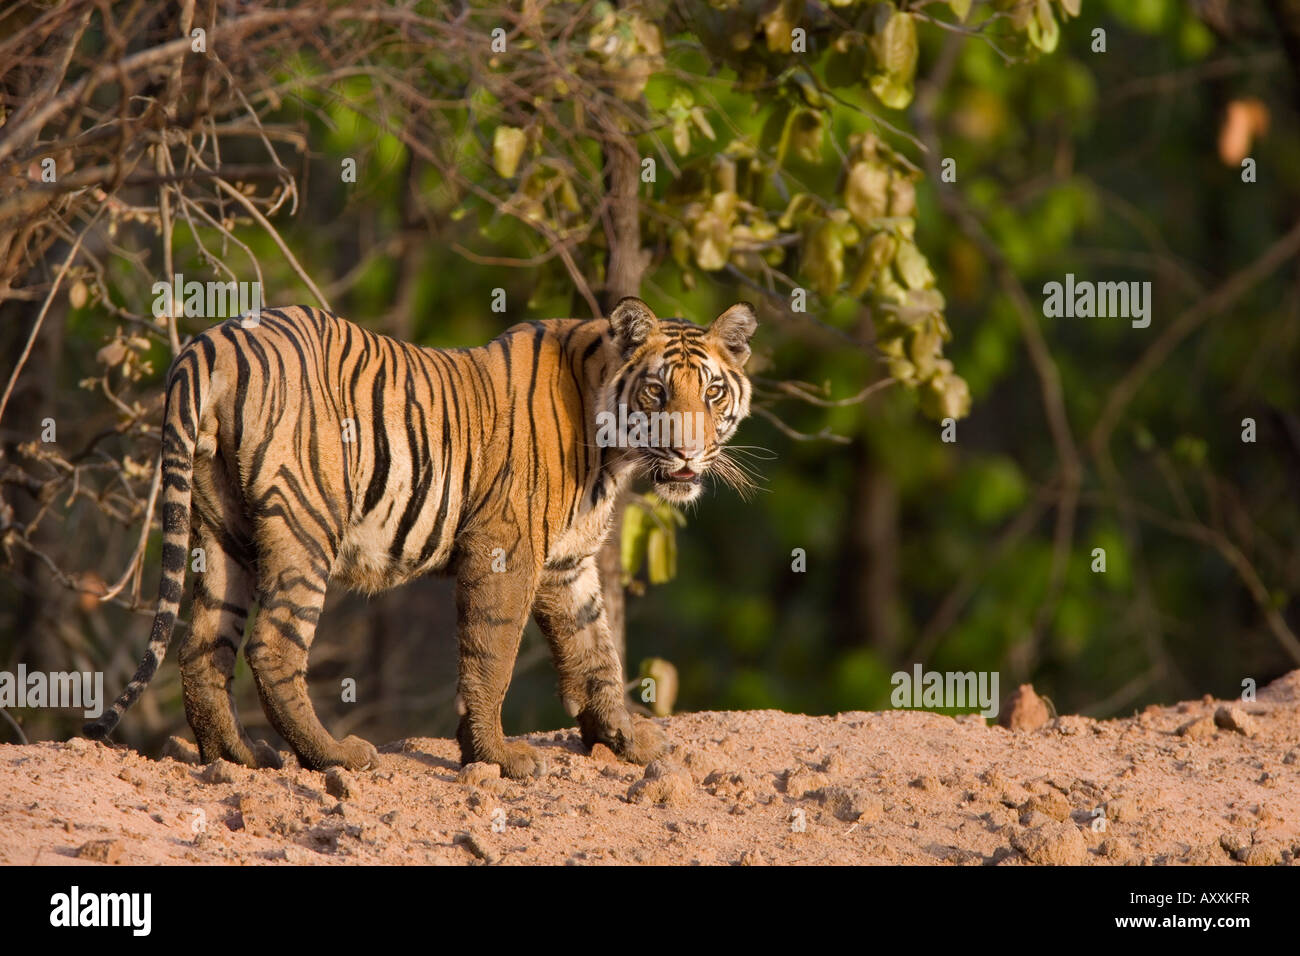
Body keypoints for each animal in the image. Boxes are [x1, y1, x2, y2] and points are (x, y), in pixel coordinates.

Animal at [86, 297, 759, 780]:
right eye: (657, 391)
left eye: (712, 391)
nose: (688, 452)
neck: (612, 450)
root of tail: (212, 340)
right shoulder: (507, 549)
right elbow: (493, 655)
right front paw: (497, 758)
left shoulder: (568, 565)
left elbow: (596, 652)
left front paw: (625, 739)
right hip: (306, 521)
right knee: (272, 647)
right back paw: (334, 757)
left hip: (222, 527)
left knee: (203, 645)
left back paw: (238, 757)